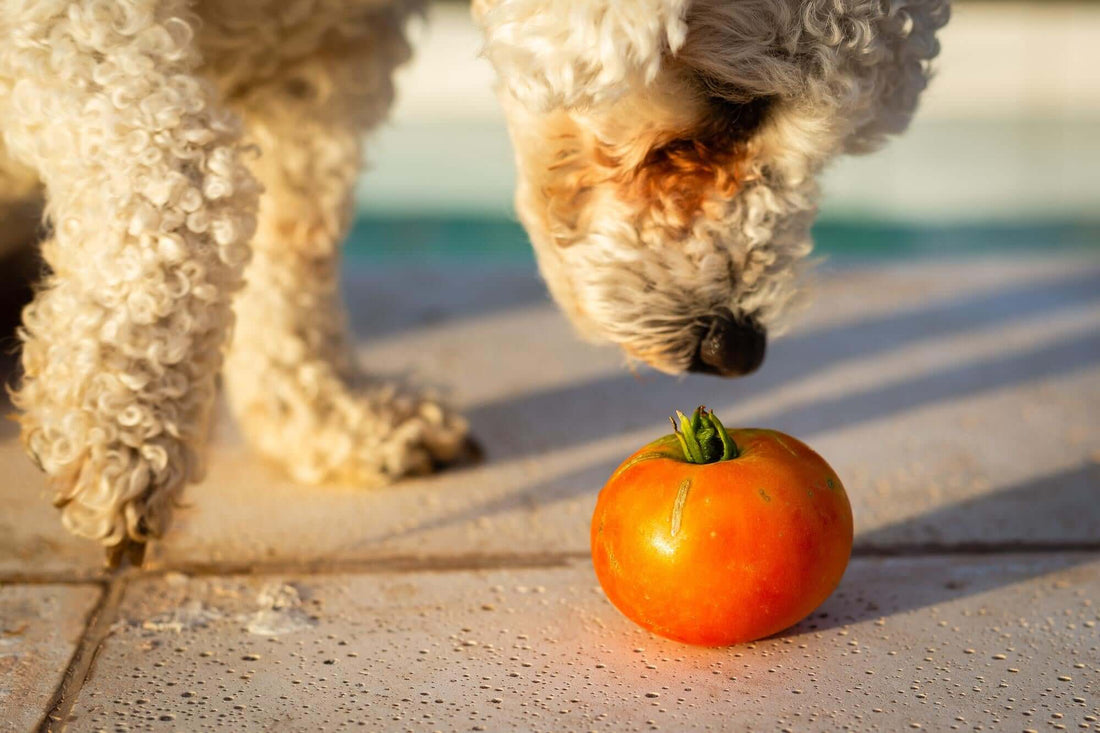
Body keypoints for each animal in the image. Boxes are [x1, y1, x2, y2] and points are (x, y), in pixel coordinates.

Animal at [0, 0, 946, 556]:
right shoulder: (64, 26)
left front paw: (322, 419)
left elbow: (297, 220)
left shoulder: (318, 48)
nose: (739, 349)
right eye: (739, 104)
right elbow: (187, 158)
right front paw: (122, 430)